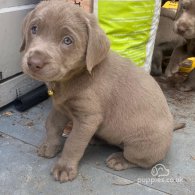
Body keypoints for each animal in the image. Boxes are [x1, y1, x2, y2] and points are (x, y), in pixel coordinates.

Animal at [21, 0, 174, 183]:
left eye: (67, 40)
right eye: (34, 28)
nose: (34, 62)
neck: (70, 80)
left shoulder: (88, 118)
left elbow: (73, 143)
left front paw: (64, 168)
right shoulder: (60, 107)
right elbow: (51, 125)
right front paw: (49, 146)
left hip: (141, 146)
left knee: (140, 160)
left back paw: (119, 159)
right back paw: (95, 139)